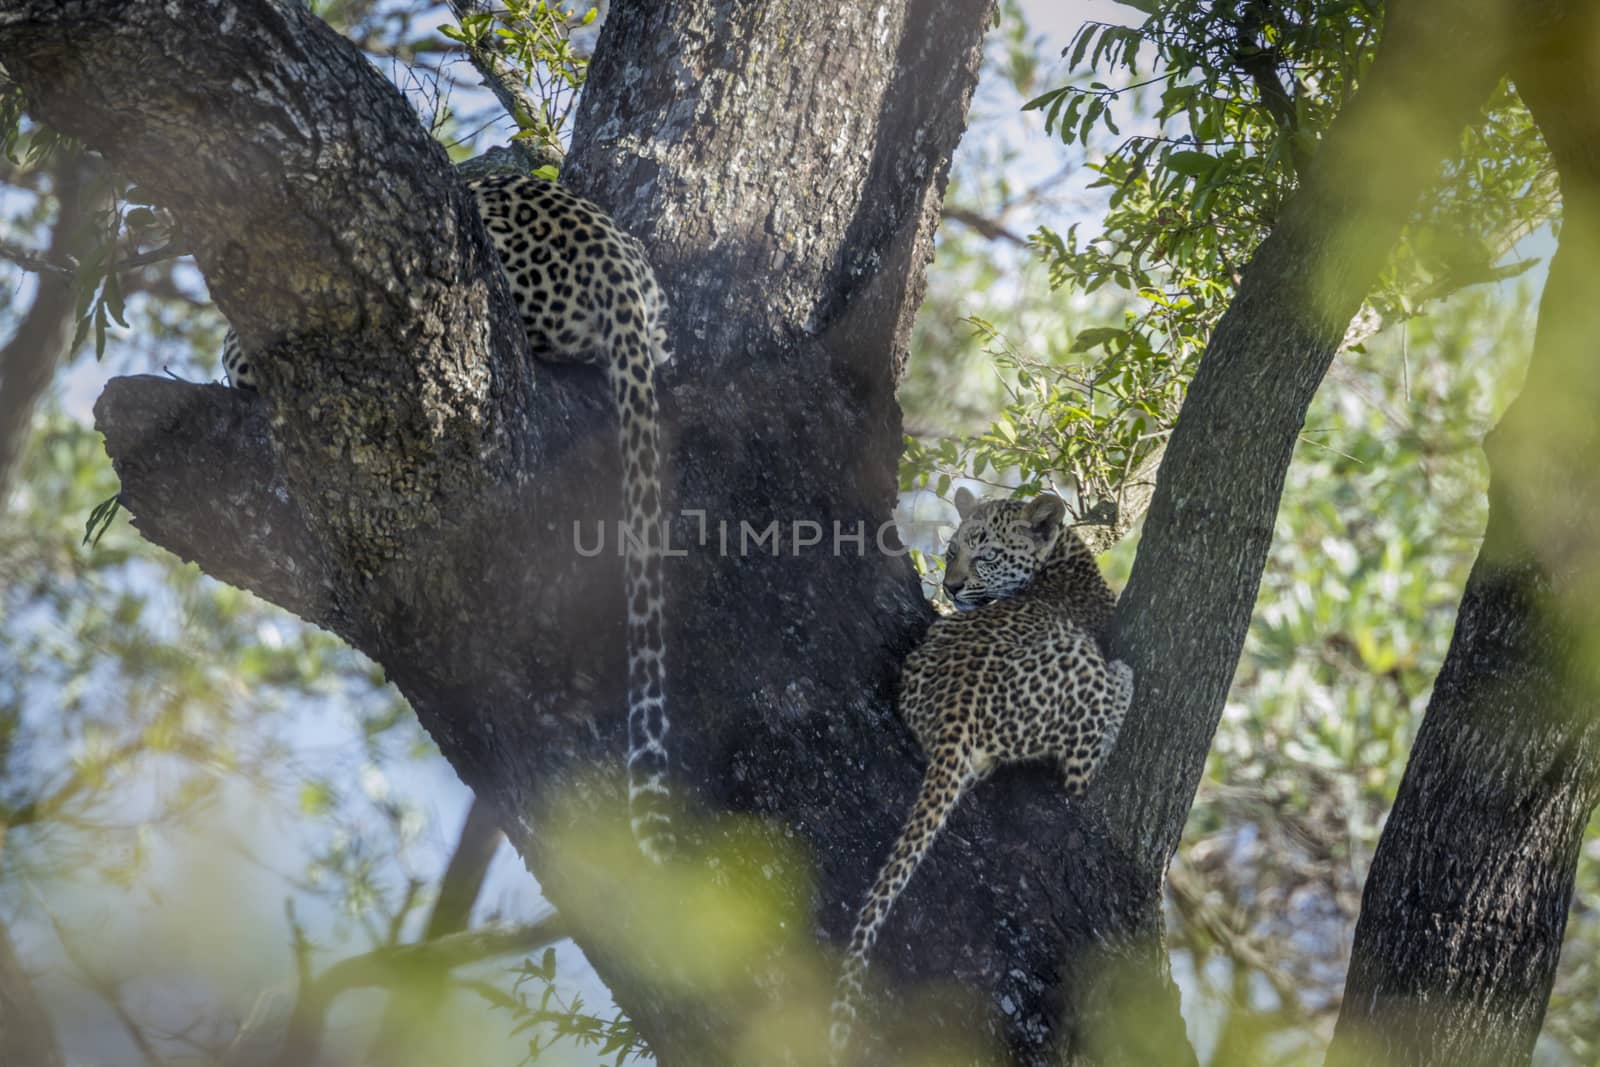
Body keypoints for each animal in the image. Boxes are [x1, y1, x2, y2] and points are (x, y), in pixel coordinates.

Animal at [825, 486, 1139, 1062]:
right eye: (950, 552)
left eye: (985, 554)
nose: (950, 587)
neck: (1060, 556)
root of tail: (957, 706)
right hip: (1078, 666)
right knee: (1081, 767)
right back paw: (1123, 679)